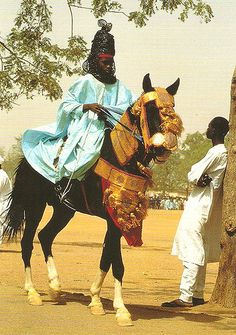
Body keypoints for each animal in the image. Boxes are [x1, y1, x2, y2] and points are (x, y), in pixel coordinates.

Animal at [3, 74, 183, 328]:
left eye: (172, 107)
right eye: (150, 108)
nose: (164, 146)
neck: (120, 158)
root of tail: (27, 160)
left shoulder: (119, 219)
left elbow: (108, 259)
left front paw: (99, 301)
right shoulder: (113, 216)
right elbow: (114, 261)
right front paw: (118, 309)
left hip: (64, 210)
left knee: (45, 236)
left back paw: (55, 287)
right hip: (34, 205)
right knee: (27, 242)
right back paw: (33, 293)